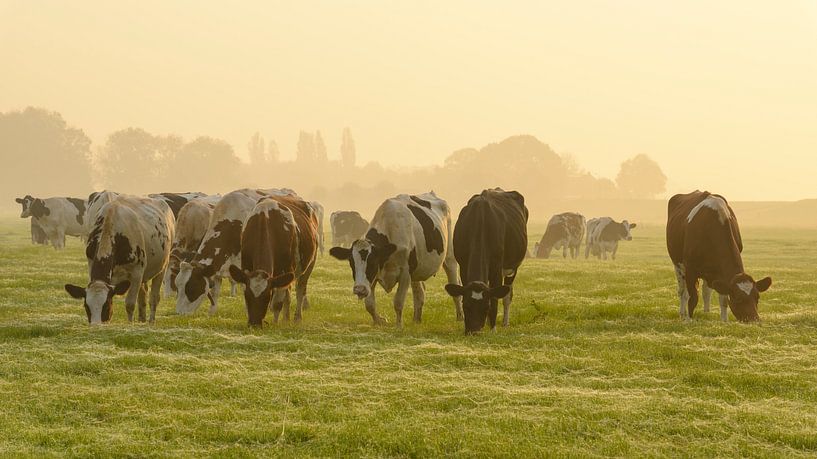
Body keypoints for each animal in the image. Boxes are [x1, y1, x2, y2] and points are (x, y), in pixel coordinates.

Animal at [64, 196, 175, 324]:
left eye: (106, 306)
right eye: (86, 307)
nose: (96, 325)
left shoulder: (136, 273)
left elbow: (130, 304)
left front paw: (130, 324)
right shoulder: (91, 265)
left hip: (162, 267)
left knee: (154, 298)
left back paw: (151, 321)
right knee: (143, 296)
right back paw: (142, 319)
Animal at [229, 195, 318, 326]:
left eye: (267, 296)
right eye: (247, 296)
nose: (254, 324)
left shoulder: (283, 269)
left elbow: (276, 304)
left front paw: (275, 324)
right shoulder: (246, 268)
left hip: (309, 265)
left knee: (300, 290)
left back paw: (297, 318)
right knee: (288, 295)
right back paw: (286, 318)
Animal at [329, 191, 462, 327]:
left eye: (372, 262)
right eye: (352, 263)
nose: (359, 289)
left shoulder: (405, 274)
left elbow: (398, 302)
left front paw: (398, 326)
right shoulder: (375, 276)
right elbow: (370, 305)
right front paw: (379, 321)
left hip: (450, 257)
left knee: (455, 286)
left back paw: (460, 317)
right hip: (416, 270)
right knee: (419, 293)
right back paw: (416, 320)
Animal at [443, 188, 528, 334]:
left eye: (485, 307)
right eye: (466, 306)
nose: (474, 331)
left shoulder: (496, 269)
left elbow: (495, 299)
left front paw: (493, 330)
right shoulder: (463, 266)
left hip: (513, 267)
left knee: (507, 296)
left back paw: (505, 322)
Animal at [667, 190, 772, 322]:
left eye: (757, 297)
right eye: (738, 298)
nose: (754, 319)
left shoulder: (721, 274)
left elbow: (723, 299)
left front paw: (724, 321)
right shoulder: (690, 268)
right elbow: (693, 298)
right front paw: (689, 320)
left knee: (706, 291)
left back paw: (706, 312)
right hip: (678, 265)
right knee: (682, 291)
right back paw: (682, 313)